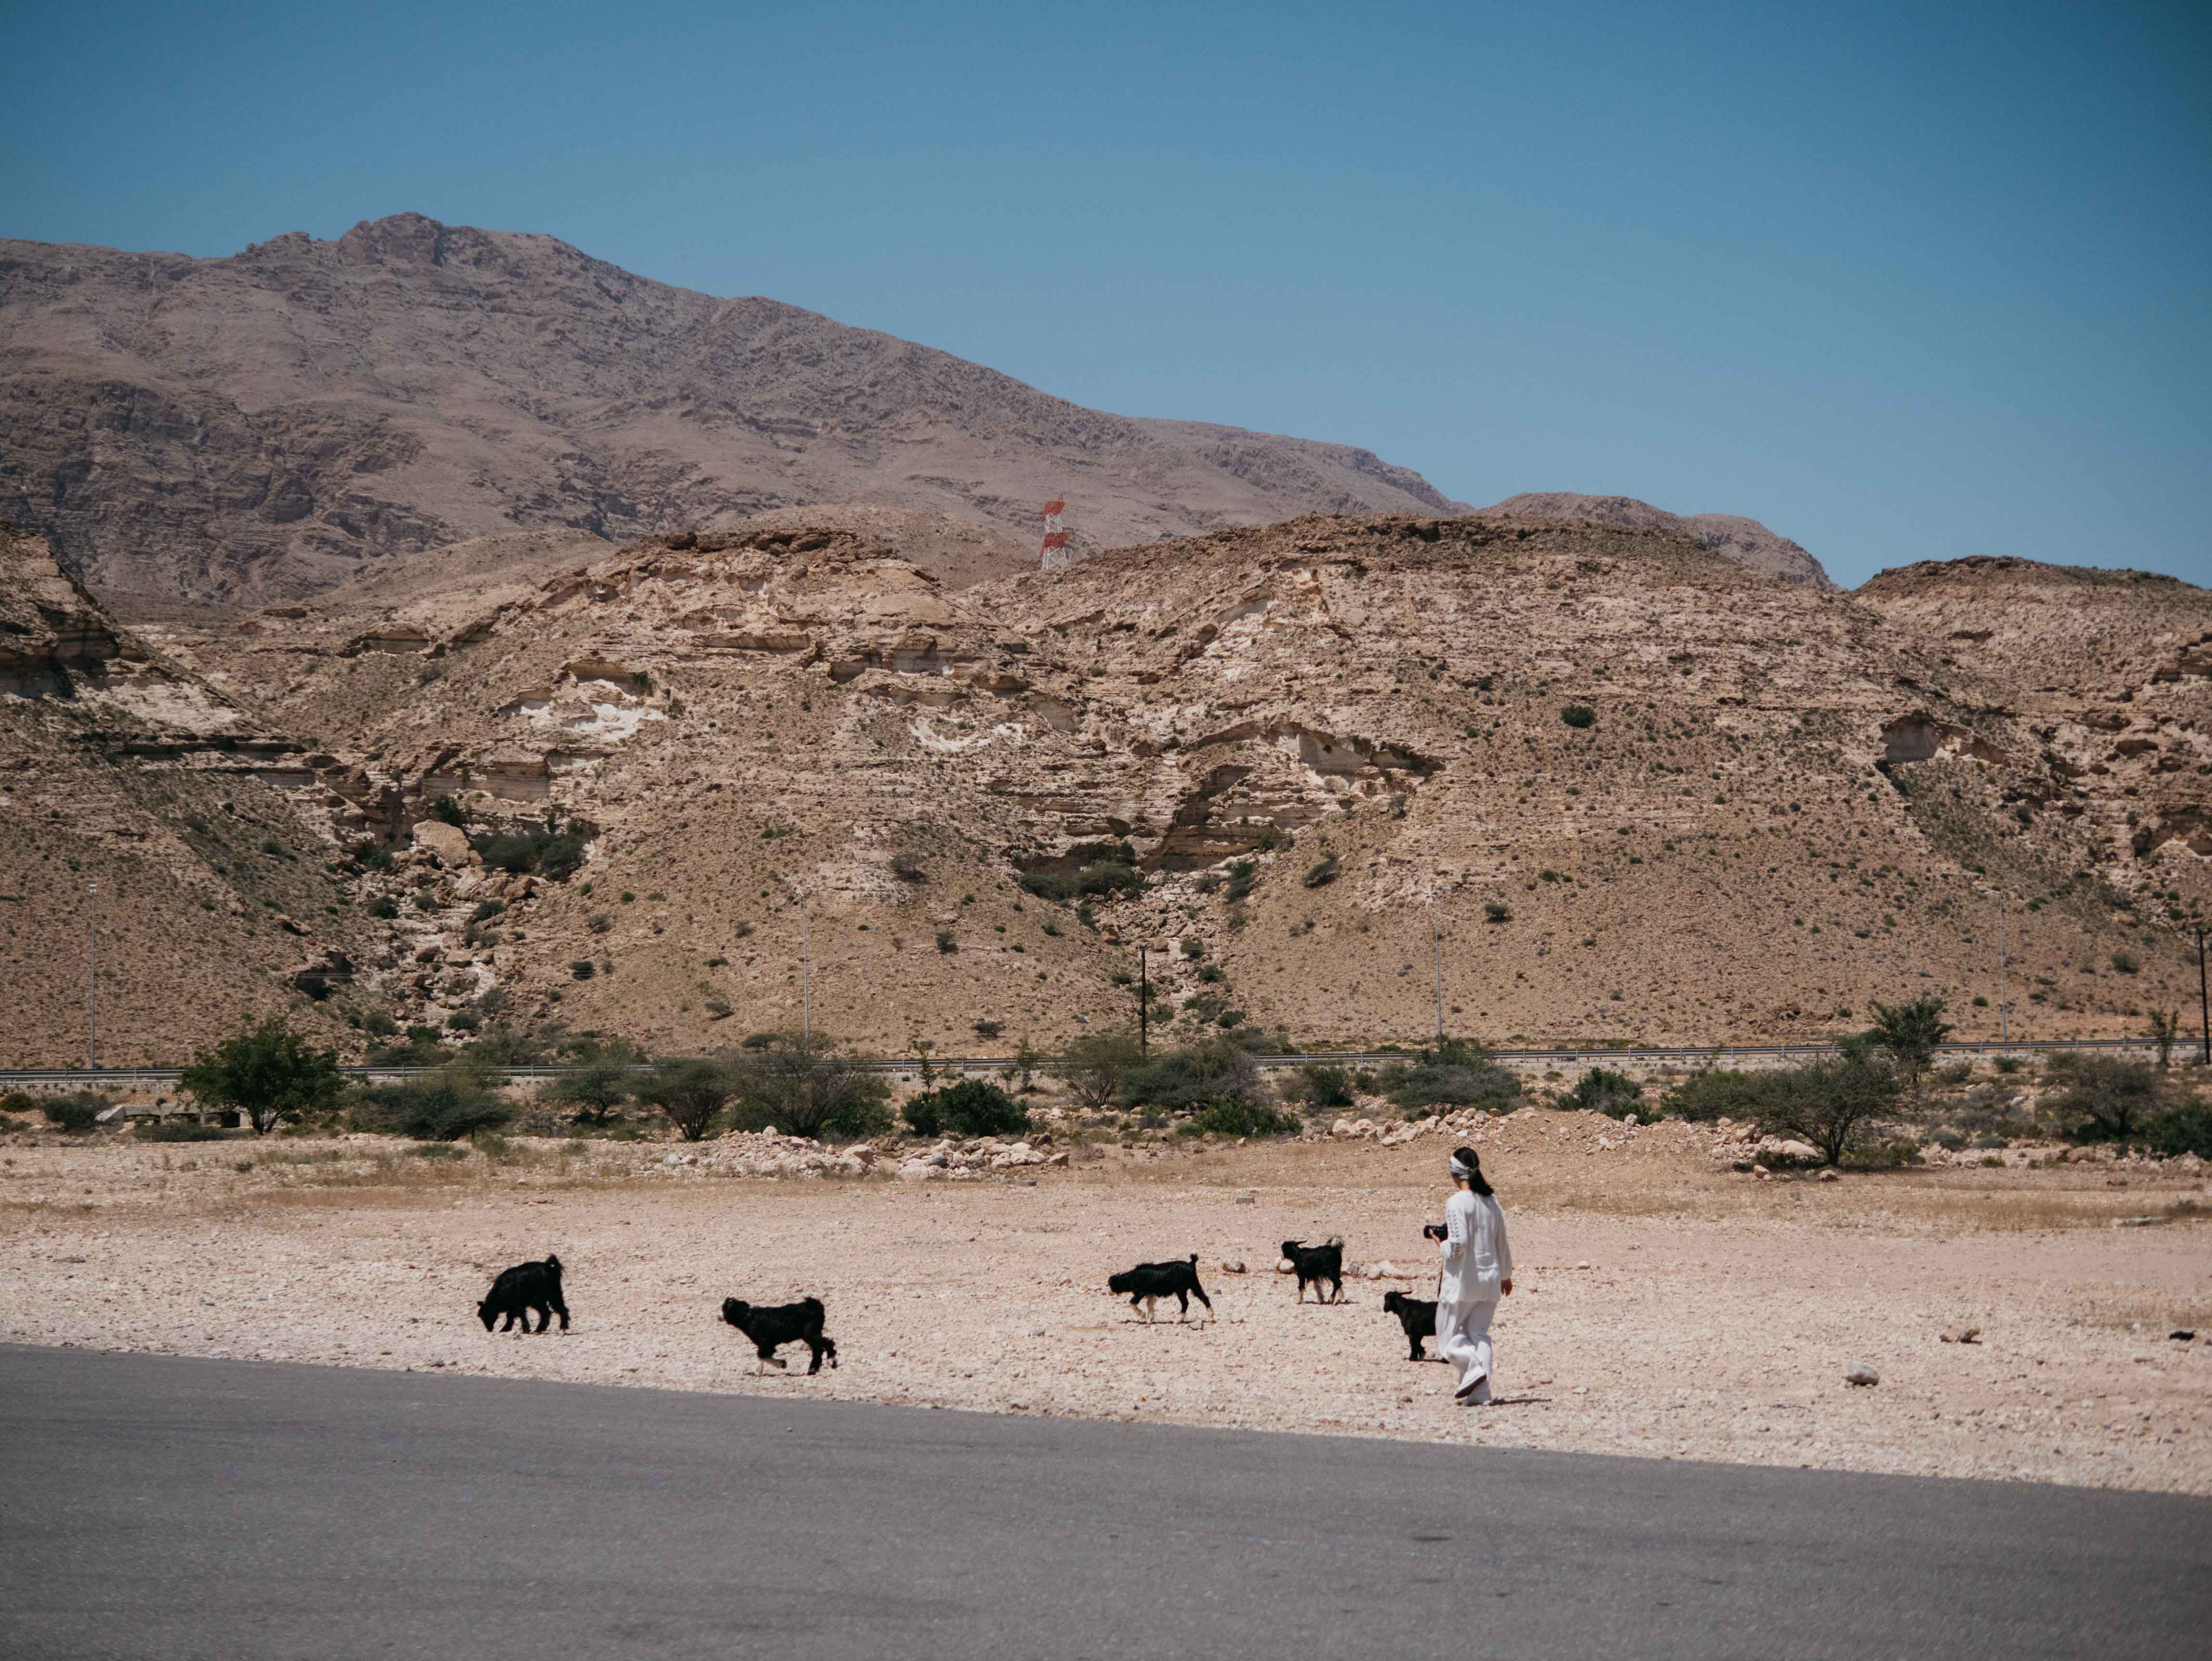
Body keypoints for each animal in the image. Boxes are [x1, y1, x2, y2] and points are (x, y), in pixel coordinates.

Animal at [477, 1256, 570, 1336]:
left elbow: (519, 1315)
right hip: (554, 1294)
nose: (489, 1329)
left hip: (539, 1299)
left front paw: (525, 1329)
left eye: (483, 1315)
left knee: (546, 1313)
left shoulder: (517, 1304)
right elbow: (511, 1316)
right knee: (562, 1309)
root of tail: (549, 1269)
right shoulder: (514, 1306)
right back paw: (563, 1326)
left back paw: (540, 1329)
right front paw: (506, 1328)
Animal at [725, 1300, 836, 1380]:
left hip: (810, 1333)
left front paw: (758, 1371)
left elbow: (762, 1355)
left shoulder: (765, 1342)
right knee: (818, 1349)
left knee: (828, 1343)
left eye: (725, 1308)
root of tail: (816, 1306)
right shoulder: (768, 1344)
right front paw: (781, 1364)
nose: (721, 1317)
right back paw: (813, 1369)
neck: (748, 1318)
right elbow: (764, 1356)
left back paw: (832, 1362)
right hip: (811, 1335)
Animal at [1106, 1256, 1212, 1327]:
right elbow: (1149, 1305)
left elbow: (1132, 1303)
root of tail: (1191, 1264)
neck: (1132, 1277)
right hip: (1194, 1285)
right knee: (1204, 1298)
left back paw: (1178, 1320)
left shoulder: (1140, 1292)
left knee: (1186, 1303)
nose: (1109, 1293)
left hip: (1181, 1290)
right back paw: (1211, 1317)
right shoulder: (1151, 1293)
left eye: (1110, 1284)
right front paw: (1150, 1319)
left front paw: (1143, 1315)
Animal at [1283, 1239, 1344, 1309]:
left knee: (1338, 1283)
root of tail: (1335, 1249)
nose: (1284, 1256)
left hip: (1330, 1272)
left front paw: (1298, 1301)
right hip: (1337, 1271)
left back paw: (1333, 1299)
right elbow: (1317, 1287)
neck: (1297, 1254)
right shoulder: (1314, 1275)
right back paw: (1337, 1299)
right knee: (1337, 1284)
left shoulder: (1301, 1275)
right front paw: (1321, 1300)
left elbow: (1301, 1286)